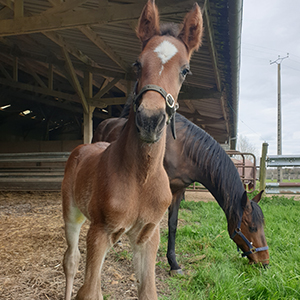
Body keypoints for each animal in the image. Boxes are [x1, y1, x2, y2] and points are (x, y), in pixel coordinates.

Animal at [62, 0, 205, 300]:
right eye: (138, 64)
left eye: (185, 70)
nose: (150, 120)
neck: (141, 178)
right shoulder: (99, 232)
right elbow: (88, 291)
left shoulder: (147, 236)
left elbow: (147, 291)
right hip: (72, 213)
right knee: (71, 260)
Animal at [92, 114, 270, 274]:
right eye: (252, 227)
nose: (265, 262)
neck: (183, 149)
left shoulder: (177, 191)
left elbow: (172, 225)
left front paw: (173, 264)